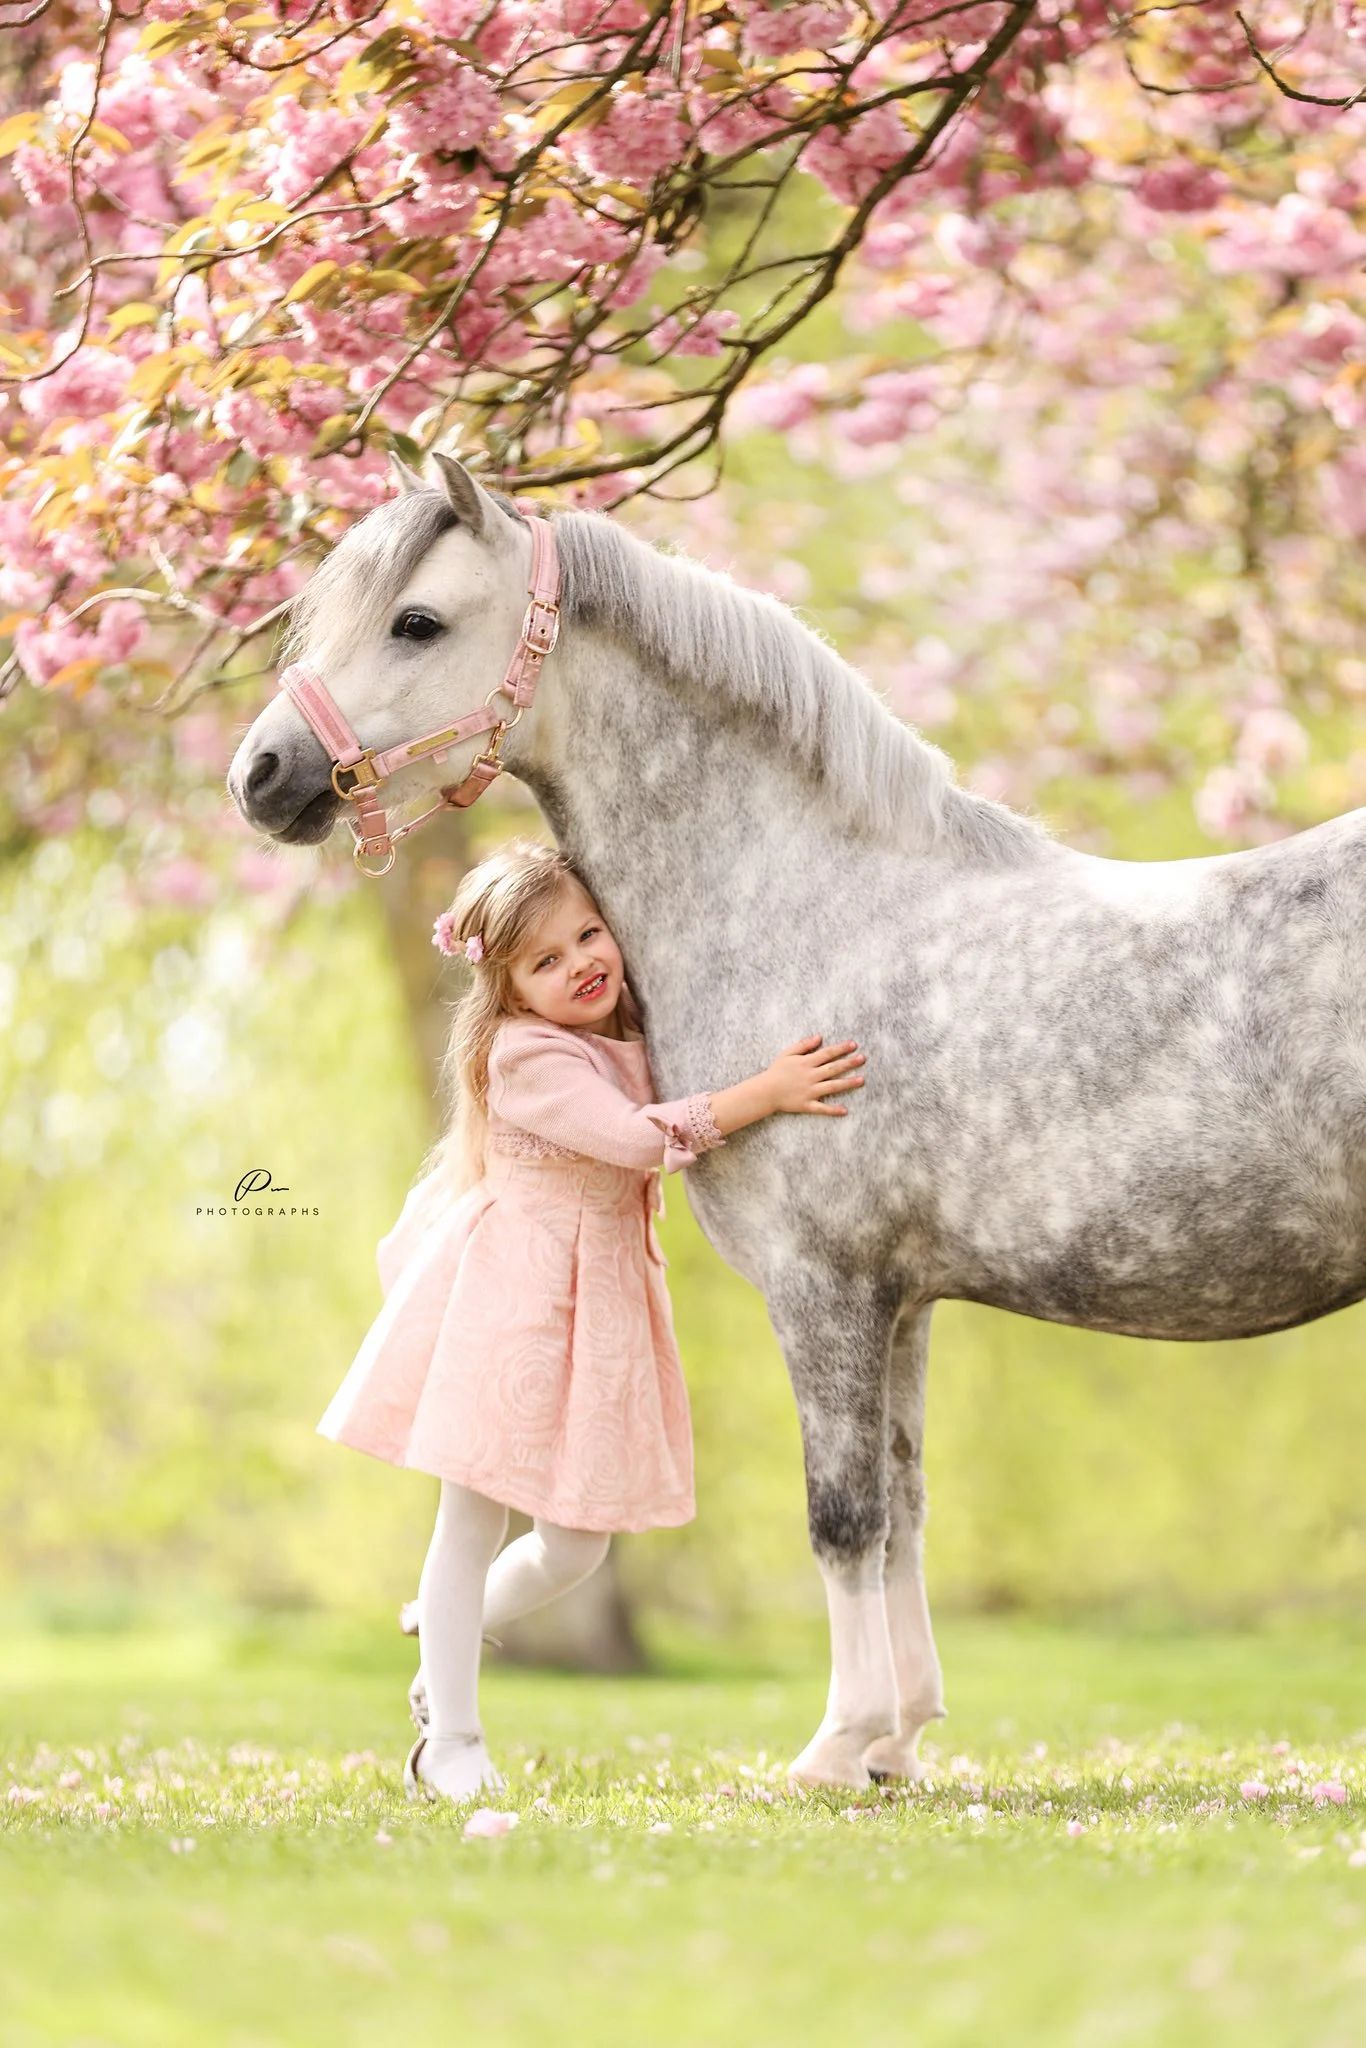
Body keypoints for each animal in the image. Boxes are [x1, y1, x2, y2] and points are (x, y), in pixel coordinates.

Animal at [228, 456, 1366, 1787]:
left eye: (416, 621)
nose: (260, 774)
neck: (806, 907)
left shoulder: (823, 1284)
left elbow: (839, 1513)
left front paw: (837, 1742)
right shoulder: (905, 1299)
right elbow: (903, 1505)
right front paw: (900, 1738)